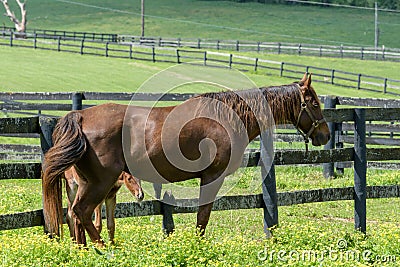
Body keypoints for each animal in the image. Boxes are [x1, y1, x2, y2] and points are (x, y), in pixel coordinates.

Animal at [42, 73, 330, 247]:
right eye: (314, 103)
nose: (325, 135)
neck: (227, 117)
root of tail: (80, 117)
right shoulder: (212, 177)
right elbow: (203, 216)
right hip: (99, 183)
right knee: (81, 212)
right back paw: (103, 249)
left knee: (75, 215)